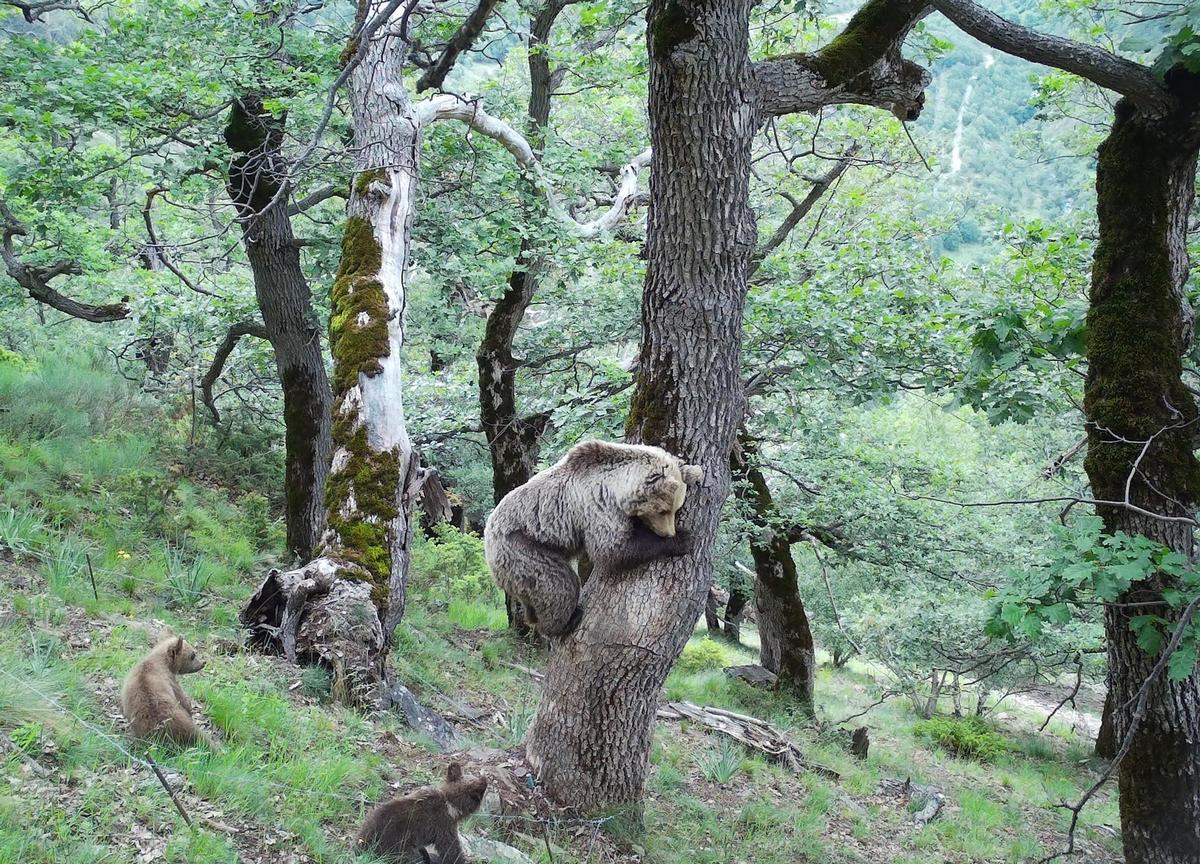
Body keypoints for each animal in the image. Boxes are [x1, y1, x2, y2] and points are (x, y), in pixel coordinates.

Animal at [482, 441, 700, 638]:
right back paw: (564, 622)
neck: (616, 484)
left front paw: (696, 472)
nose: (668, 532)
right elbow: (613, 550)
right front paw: (683, 539)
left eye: (676, 508)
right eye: (663, 510)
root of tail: (487, 533)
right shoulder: (598, 505)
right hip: (522, 547)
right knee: (558, 582)